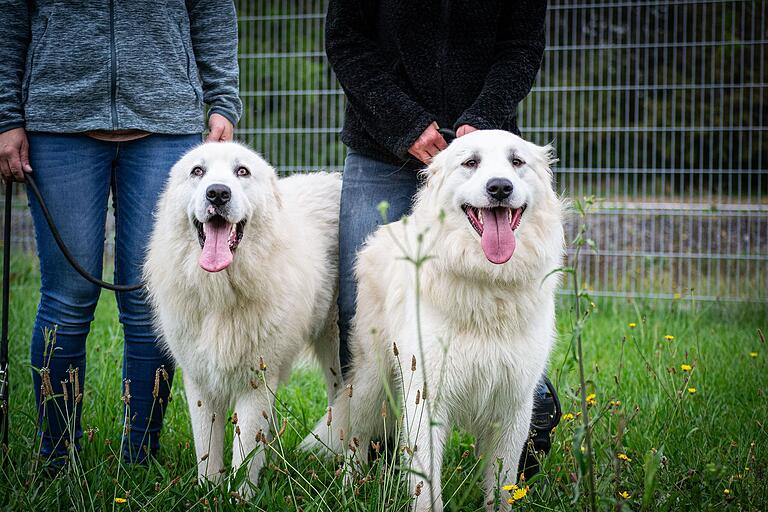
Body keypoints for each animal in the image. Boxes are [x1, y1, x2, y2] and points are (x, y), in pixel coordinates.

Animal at [145, 143, 342, 492]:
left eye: (242, 172)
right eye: (198, 171)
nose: (217, 193)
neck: (220, 292)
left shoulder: (256, 382)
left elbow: (245, 451)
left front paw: (238, 496)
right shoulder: (200, 382)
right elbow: (207, 450)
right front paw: (208, 492)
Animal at [302, 130, 564, 510]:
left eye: (517, 162)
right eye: (471, 162)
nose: (500, 187)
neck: (487, 282)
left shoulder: (514, 404)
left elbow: (501, 488)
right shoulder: (425, 398)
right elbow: (426, 490)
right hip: (371, 378)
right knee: (356, 435)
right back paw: (350, 491)